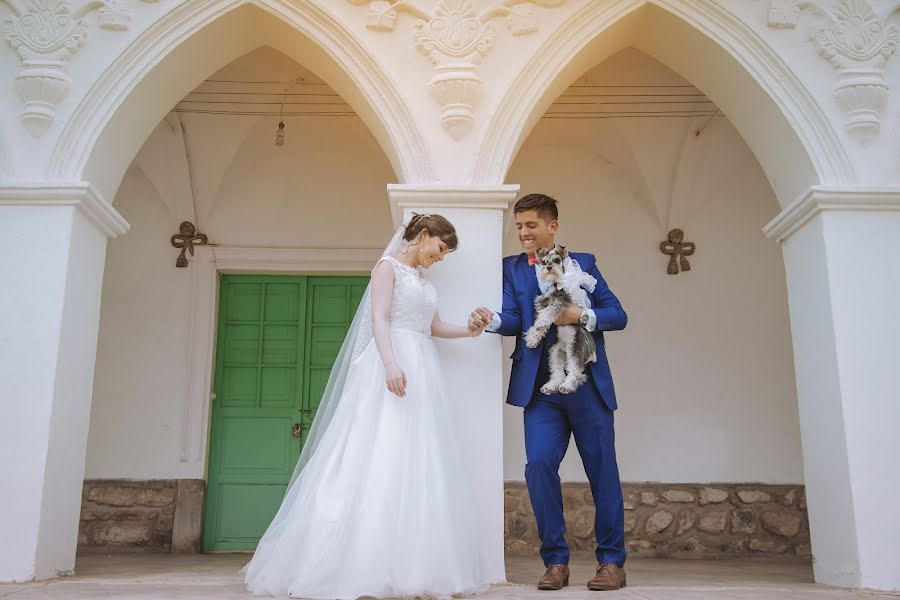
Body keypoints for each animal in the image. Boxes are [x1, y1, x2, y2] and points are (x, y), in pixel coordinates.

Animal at [524, 244, 596, 394]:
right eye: (544, 262)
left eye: (556, 260)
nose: (549, 268)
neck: (556, 283)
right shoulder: (542, 304)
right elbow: (538, 324)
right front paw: (533, 338)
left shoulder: (558, 304)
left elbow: (545, 318)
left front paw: (536, 332)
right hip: (555, 353)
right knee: (558, 373)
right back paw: (550, 386)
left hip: (575, 350)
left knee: (576, 372)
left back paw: (567, 386)